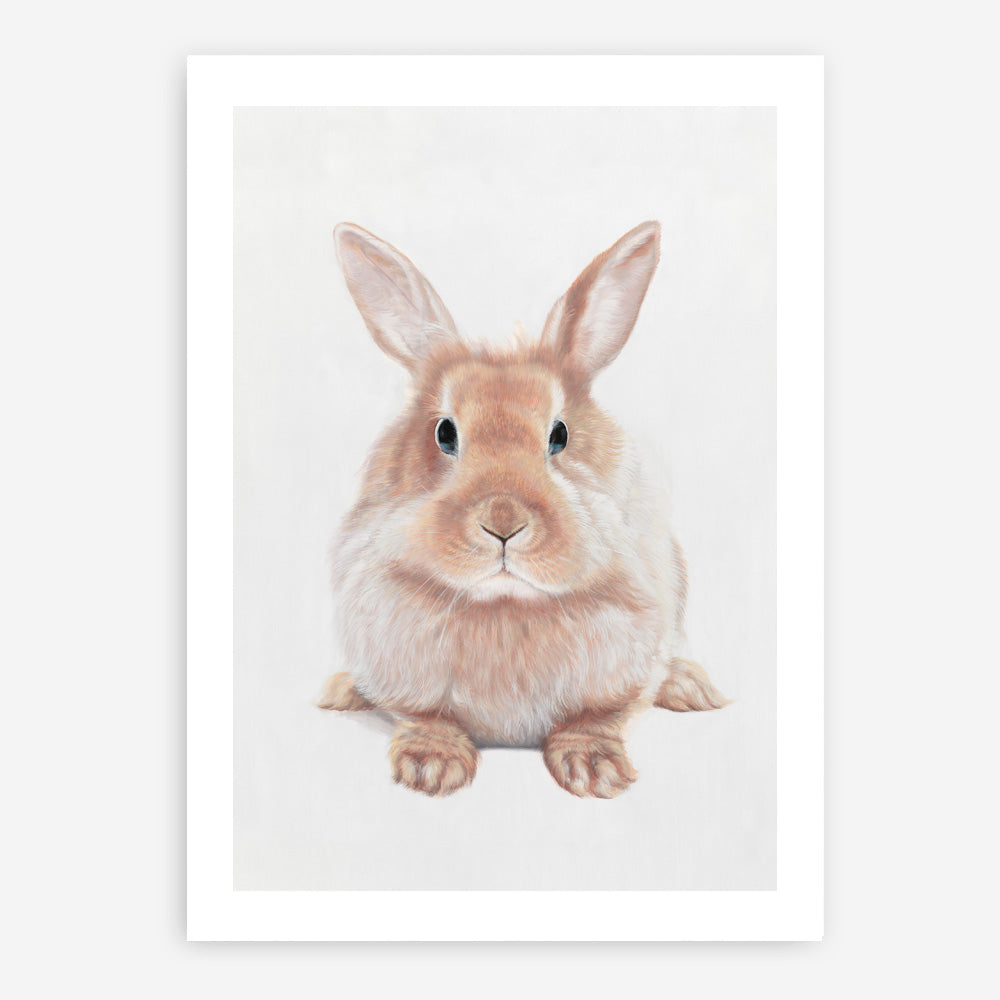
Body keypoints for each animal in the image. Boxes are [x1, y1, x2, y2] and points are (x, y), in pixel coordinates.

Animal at [318, 221, 729, 798]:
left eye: (560, 435)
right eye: (444, 433)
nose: (503, 523)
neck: (505, 606)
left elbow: (595, 717)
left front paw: (595, 771)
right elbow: (425, 716)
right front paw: (431, 767)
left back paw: (692, 687)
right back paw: (340, 690)